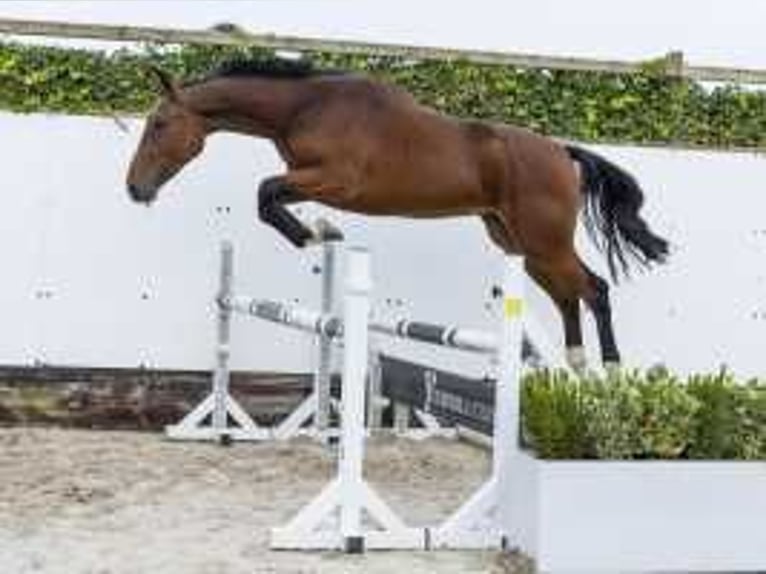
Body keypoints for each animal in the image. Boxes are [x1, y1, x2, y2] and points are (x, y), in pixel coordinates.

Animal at [127, 59, 672, 374]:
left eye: (160, 124)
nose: (134, 188)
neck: (307, 105)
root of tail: (562, 151)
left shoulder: (336, 180)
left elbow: (265, 193)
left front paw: (313, 234)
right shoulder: (312, 177)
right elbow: (269, 196)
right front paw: (319, 231)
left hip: (544, 242)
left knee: (594, 289)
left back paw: (611, 371)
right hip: (518, 244)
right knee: (567, 297)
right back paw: (577, 366)